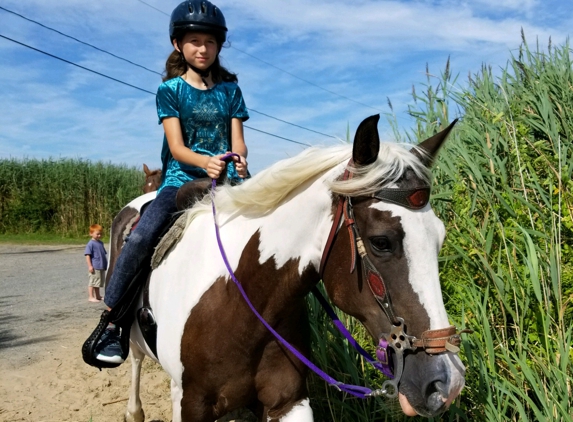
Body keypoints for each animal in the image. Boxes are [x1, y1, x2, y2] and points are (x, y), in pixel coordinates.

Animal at [117, 113, 464, 420]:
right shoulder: (189, 403)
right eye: (381, 241)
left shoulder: (287, 401)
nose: (447, 384)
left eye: (440, 237)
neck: (240, 302)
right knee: (134, 360)